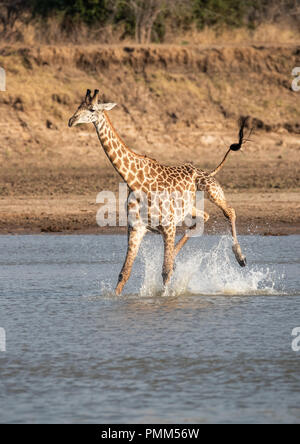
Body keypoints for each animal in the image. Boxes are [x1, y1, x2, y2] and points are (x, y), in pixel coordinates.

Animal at [69, 90, 250, 294]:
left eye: (91, 109)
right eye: (78, 107)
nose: (71, 120)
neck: (135, 181)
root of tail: (204, 170)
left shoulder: (168, 226)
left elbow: (165, 272)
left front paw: (165, 295)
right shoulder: (136, 228)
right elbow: (124, 273)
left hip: (210, 187)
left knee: (229, 212)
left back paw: (240, 257)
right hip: (188, 207)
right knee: (204, 216)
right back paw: (178, 258)